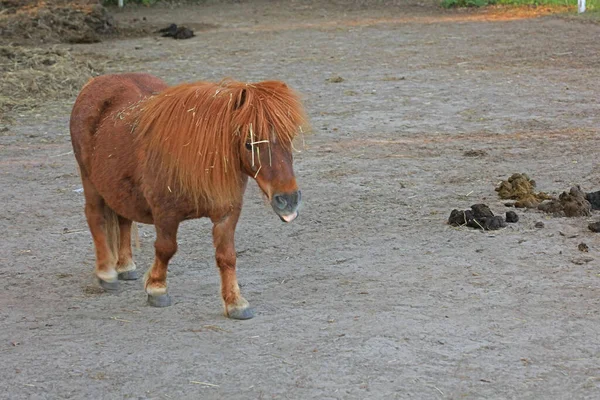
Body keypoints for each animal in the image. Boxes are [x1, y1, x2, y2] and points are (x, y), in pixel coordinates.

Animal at [69, 73, 310, 320]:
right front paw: (157, 289)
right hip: (90, 182)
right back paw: (106, 273)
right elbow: (166, 249)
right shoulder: (165, 213)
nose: (289, 200)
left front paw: (235, 303)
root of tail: (95, 83)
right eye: (249, 144)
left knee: (123, 219)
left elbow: (227, 256)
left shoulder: (227, 213)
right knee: (96, 217)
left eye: (289, 138)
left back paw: (126, 266)